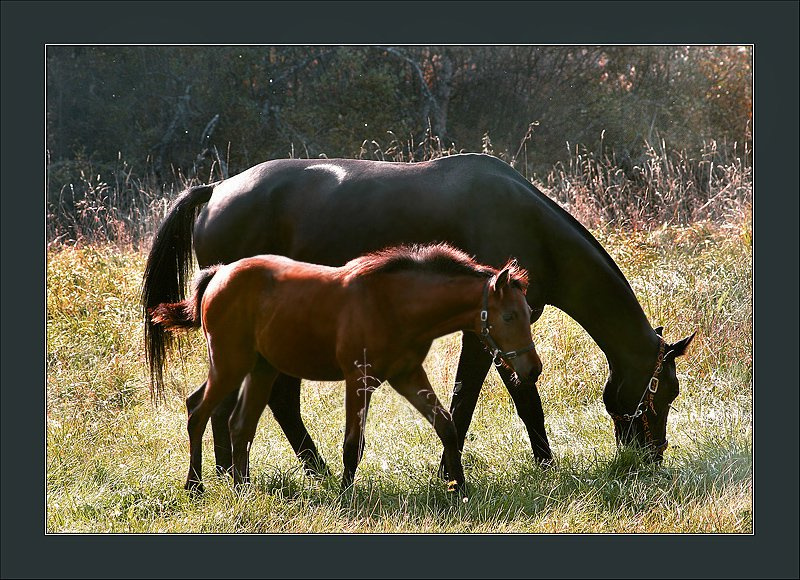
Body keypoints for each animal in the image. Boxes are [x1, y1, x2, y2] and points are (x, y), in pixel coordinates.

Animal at [148, 243, 540, 496]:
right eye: (509, 316)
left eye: (527, 312)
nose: (533, 369)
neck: (392, 303)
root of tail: (218, 273)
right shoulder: (359, 378)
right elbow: (353, 443)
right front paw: (345, 496)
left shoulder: (407, 375)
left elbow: (446, 424)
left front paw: (459, 489)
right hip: (230, 364)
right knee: (197, 410)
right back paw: (194, 486)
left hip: (261, 369)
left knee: (239, 425)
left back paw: (241, 490)